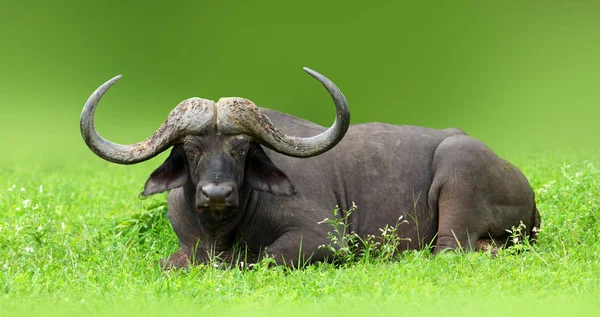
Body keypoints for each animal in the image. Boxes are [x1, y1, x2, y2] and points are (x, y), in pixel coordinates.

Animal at [78, 68, 540, 268]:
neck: (221, 232)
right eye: (190, 149)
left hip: (458, 169)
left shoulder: (323, 240)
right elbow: (169, 263)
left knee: (448, 250)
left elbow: (260, 258)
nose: (216, 194)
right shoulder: (183, 248)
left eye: (242, 149)